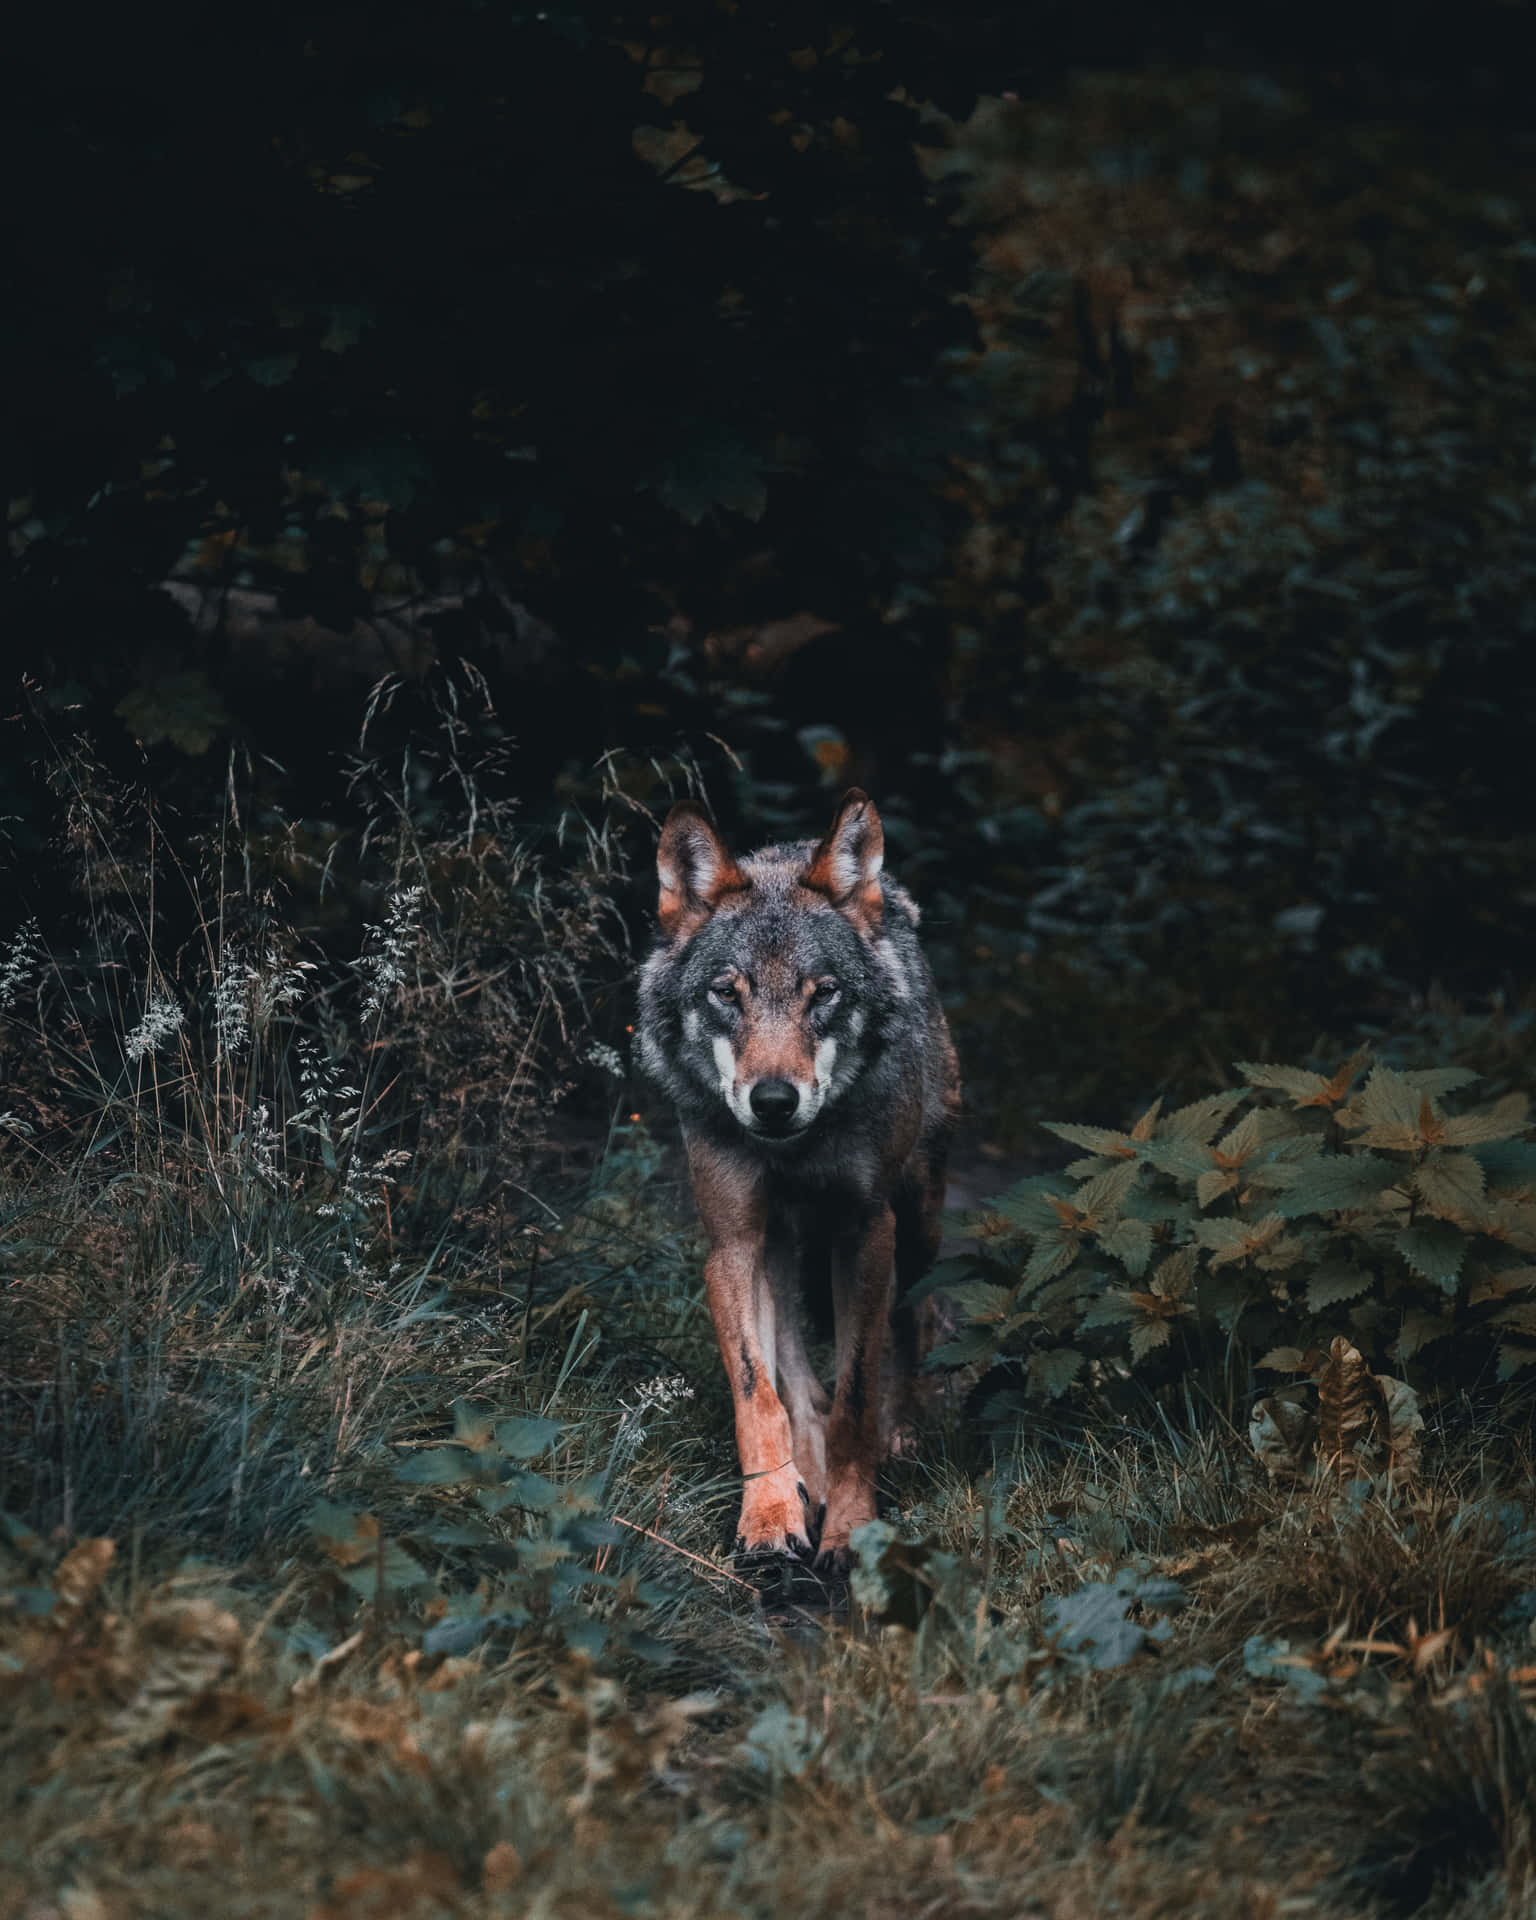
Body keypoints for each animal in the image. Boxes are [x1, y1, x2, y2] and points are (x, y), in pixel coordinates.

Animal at [636, 789, 960, 1572]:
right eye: (727, 994)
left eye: (825, 995)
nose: (775, 1101)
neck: (795, 1151)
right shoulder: (731, 1244)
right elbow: (761, 1395)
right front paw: (770, 1515)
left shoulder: (866, 1231)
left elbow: (855, 1395)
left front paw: (850, 1525)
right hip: (778, 1246)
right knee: (793, 1370)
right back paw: (805, 1477)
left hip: (920, 1223)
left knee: (912, 1322)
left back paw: (900, 1436)